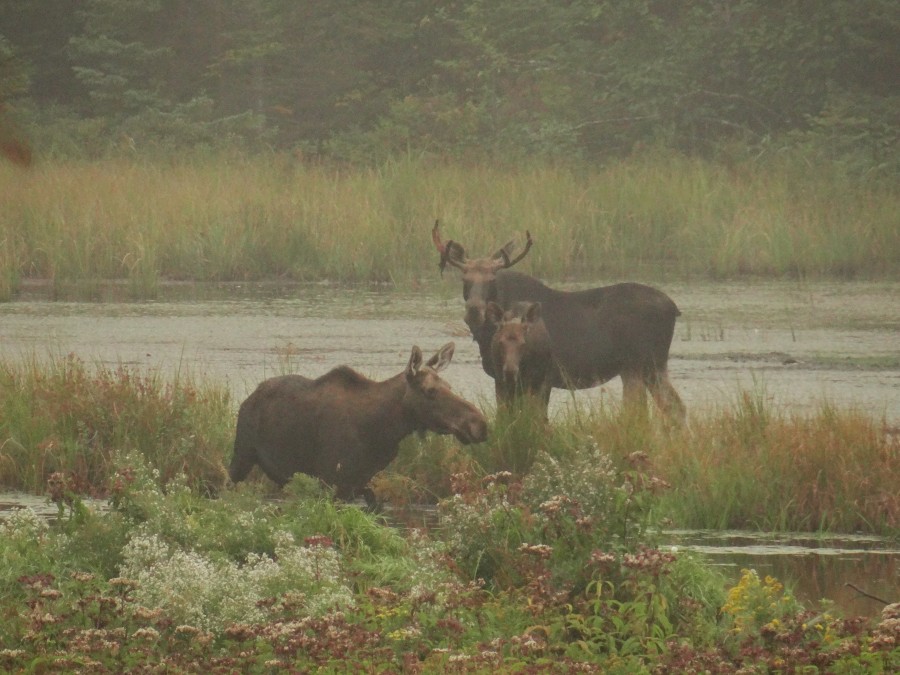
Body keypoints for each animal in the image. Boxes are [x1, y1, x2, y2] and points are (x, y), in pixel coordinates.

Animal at [229, 340, 488, 504]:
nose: (479, 424)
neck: (383, 430)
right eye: (430, 391)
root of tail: (249, 398)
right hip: (241, 458)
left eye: (449, 386)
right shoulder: (331, 481)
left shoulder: (360, 481)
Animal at [432, 222, 684, 422]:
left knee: (647, 409)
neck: (487, 336)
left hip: (641, 363)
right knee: (672, 407)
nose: (474, 311)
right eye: (464, 279)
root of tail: (674, 308)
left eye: (492, 279)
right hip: (649, 366)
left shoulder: (538, 377)